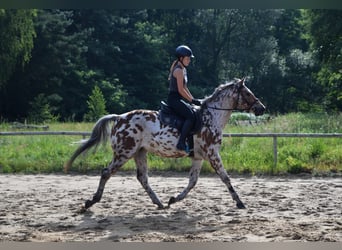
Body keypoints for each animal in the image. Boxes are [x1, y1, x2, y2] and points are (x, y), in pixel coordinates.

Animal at [65, 77, 268, 211]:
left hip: (140, 152)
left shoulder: (199, 157)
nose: (261, 108)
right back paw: (90, 202)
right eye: (248, 93)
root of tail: (119, 117)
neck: (212, 117)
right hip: (124, 153)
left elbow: (192, 182)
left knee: (142, 178)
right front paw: (240, 202)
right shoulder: (212, 154)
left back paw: (160, 203)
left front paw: (173, 199)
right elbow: (225, 178)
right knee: (106, 172)